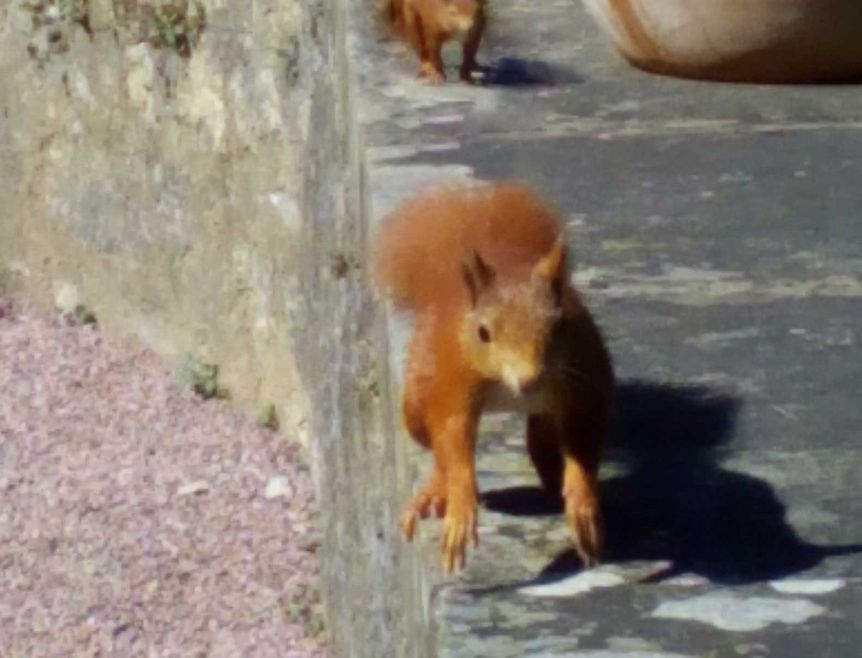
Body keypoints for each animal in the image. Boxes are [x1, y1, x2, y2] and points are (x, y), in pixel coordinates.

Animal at [376, 182, 616, 572]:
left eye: (560, 326)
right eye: (483, 333)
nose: (529, 379)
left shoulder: (582, 388)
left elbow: (582, 442)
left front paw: (582, 505)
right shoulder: (454, 385)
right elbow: (453, 442)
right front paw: (460, 509)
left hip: (546, 415)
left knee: (543, 444)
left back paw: (556, 481)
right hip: (416, 398)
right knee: (435, 448)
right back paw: (434, 492)